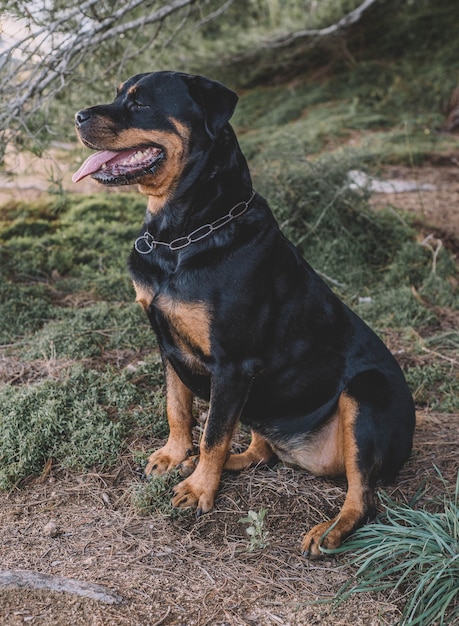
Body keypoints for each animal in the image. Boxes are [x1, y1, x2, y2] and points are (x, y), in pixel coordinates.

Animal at [73, 69, 416, 556]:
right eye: (120, 94)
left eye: (140, 104)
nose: (78, 116)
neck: (182, 235)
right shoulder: (168, 346)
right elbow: (179, 410)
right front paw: (175, 457)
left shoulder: (233, 365)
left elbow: (214, 433)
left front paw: (200, 490)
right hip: (262, 401)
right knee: (261, 449)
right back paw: (227, 463)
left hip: (365, 395)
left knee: (362, 496)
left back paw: (328, 530)